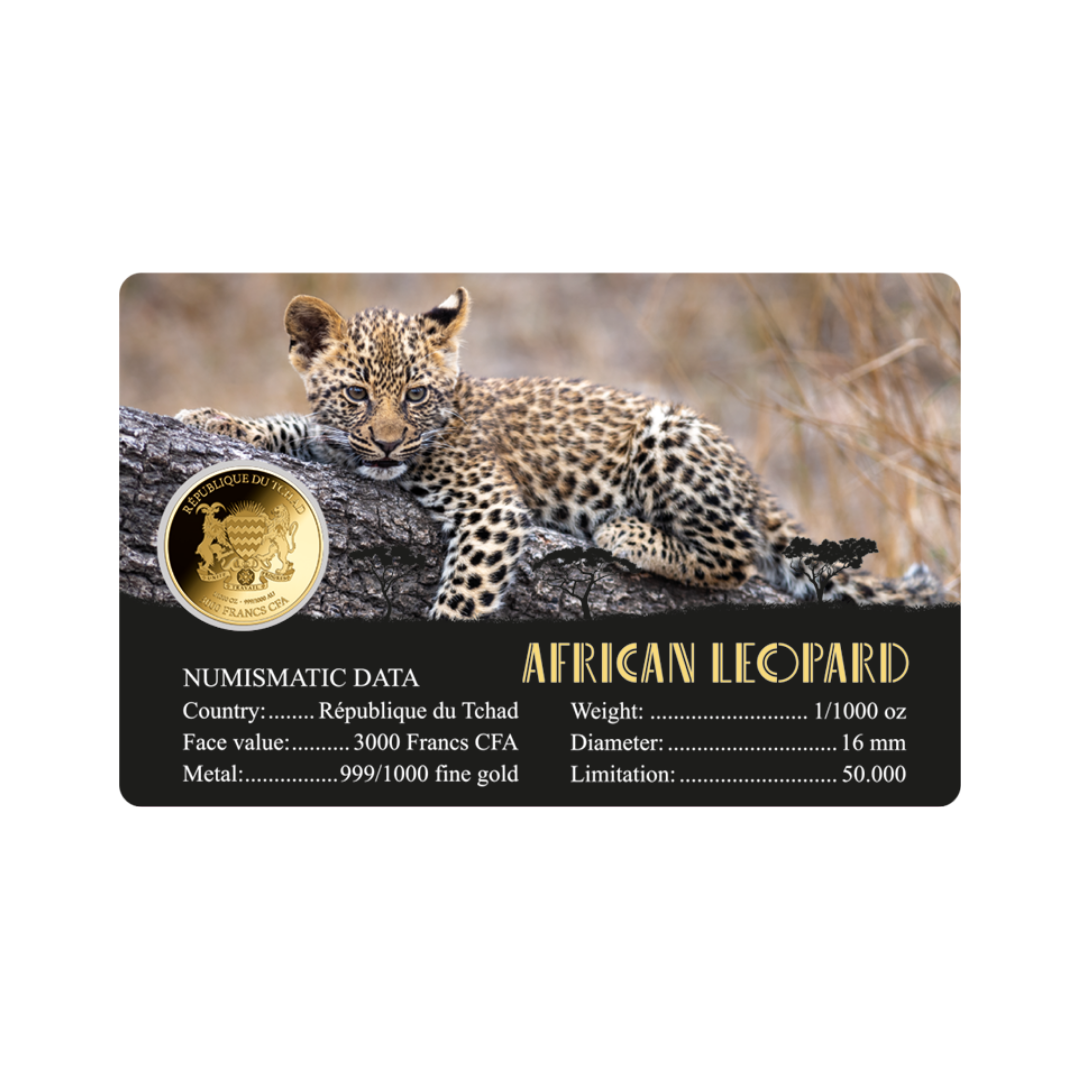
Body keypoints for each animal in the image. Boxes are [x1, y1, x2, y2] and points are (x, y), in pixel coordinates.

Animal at [176, 288, 942, 619]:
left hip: (666, 433)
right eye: (358, 395)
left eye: (417, 394)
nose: (390, 441)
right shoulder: (342, 445)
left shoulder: (490, 509)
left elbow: (463, 599)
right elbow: (295, 427)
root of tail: (752, 482)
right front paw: (213, 418)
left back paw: (627, 532)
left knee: (737, 557)